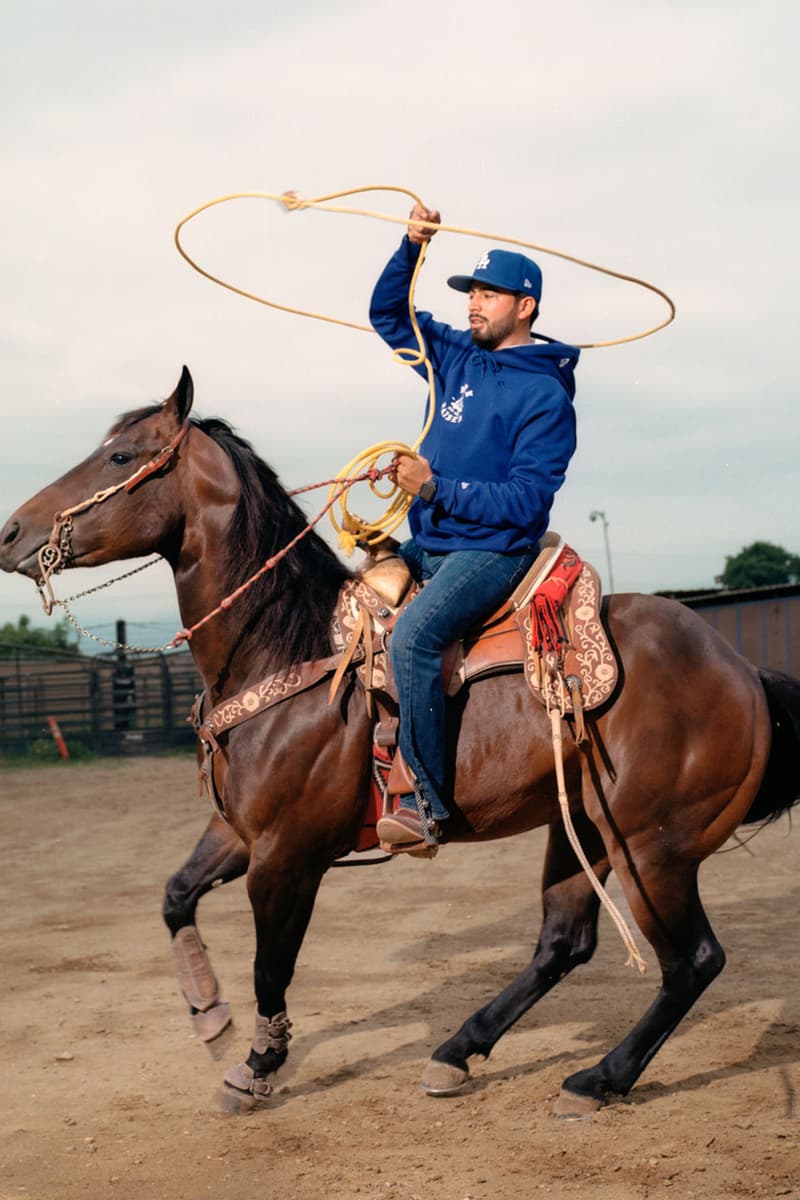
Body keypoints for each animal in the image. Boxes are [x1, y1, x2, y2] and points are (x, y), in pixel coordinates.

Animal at [1, 364, 800, 1113]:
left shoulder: (286, 856)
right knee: (564, 943)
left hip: (653, 846)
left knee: (693, 960)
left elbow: (272, 968)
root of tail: (742, 671)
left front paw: (256, 1067)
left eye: (120, 456)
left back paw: (598, 1078)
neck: (284, 647)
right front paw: (208, 1014)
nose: (12, 533)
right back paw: (458, 1052)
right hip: (584, 826)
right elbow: (175, 895)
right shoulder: (240, 832)